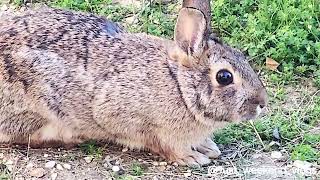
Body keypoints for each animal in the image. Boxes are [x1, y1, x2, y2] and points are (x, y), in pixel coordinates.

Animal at [0, 0, 266, 166]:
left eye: (242, 56)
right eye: (224, 77)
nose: (262, 103)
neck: (180, 86)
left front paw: (207, 147)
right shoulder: (123, 115)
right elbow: (159, 142)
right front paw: (190, 158)